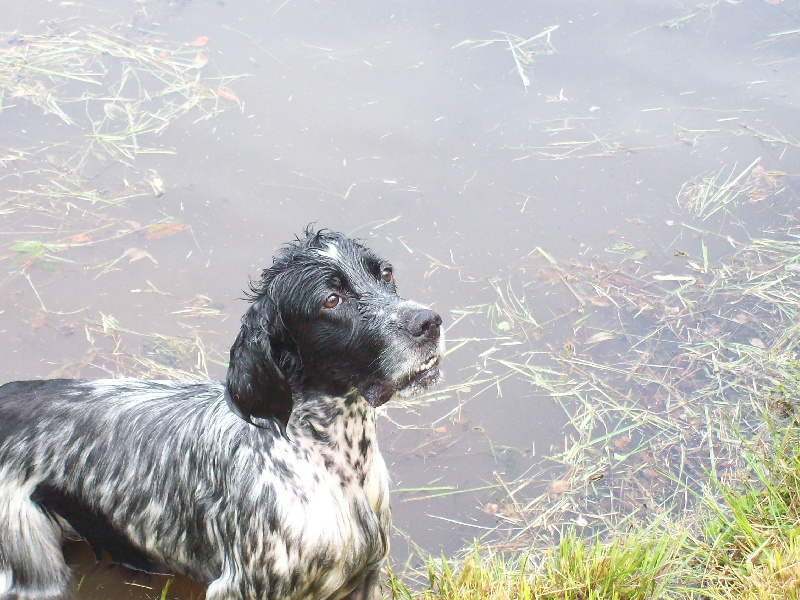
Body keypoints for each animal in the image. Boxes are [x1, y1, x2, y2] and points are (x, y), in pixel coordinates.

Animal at [0, 230, 444, 600]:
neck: (335, 465)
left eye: (385, 273)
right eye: (331, 300)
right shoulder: (243, 588)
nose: (430, 322)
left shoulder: (364, 578)